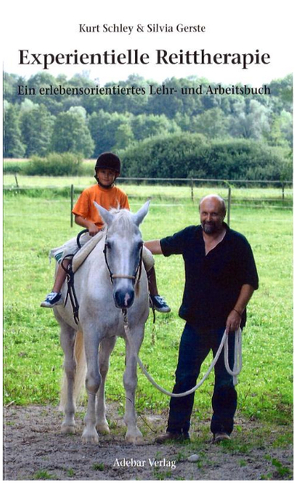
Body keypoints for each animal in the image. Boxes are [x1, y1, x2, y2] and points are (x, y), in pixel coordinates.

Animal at [53, 201, 150, 446]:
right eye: (108, 244)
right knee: (71, 368)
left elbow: (130, 380)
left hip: (110, 337)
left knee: (104, 369)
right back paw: (69, 422)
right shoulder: (91, 333)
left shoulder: (134, 334)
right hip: (67, 330)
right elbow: (92, 380)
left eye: (139, 245)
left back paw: (102, 422)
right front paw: (88, 433)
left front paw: (133, 430)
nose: (125, 296)